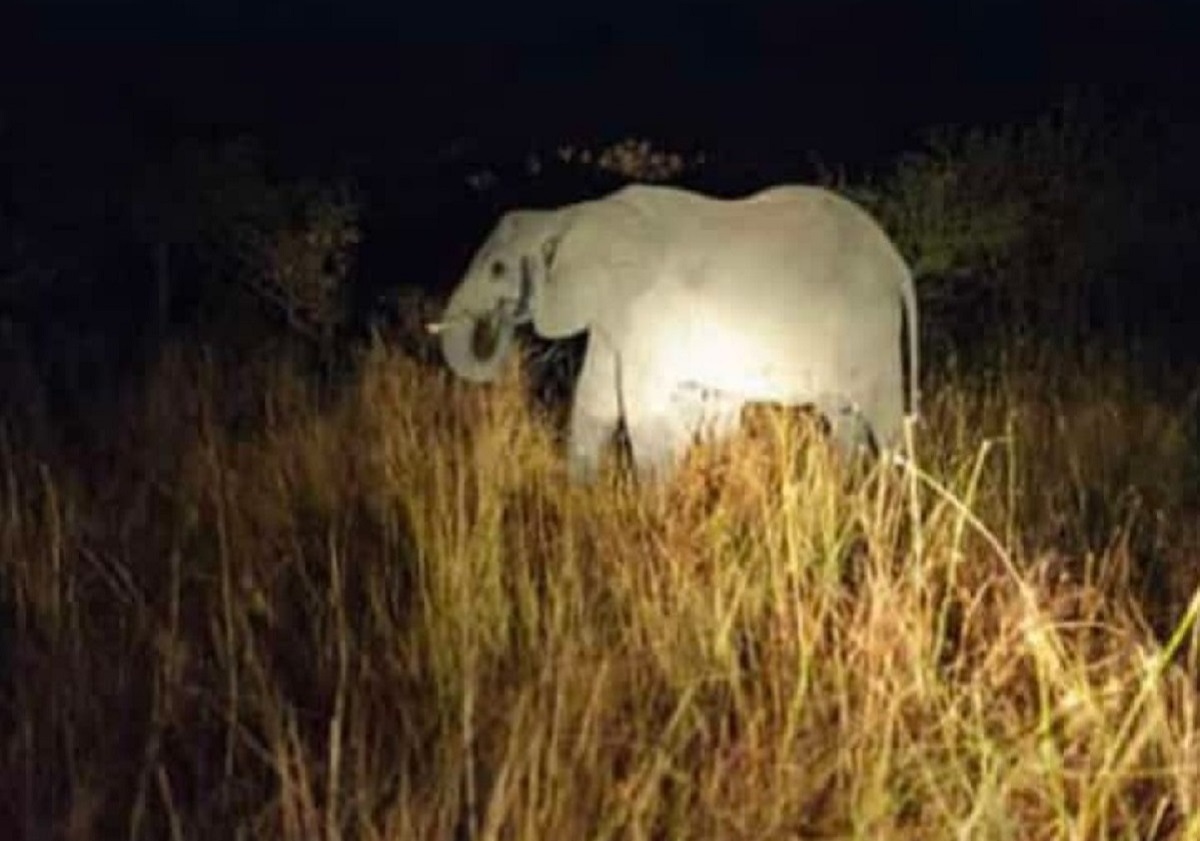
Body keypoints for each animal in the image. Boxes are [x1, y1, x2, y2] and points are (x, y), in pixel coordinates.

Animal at [428, 183, 919, 482]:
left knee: (884, 418)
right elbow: (596, 403)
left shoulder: (650, 310)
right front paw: (577, 498)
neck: (571, 215)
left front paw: (653, 511)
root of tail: (896, 262)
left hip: (869, 323)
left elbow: (639, 411)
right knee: (842, 415)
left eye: (497, 268)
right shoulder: (613, 314)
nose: (497, 321)